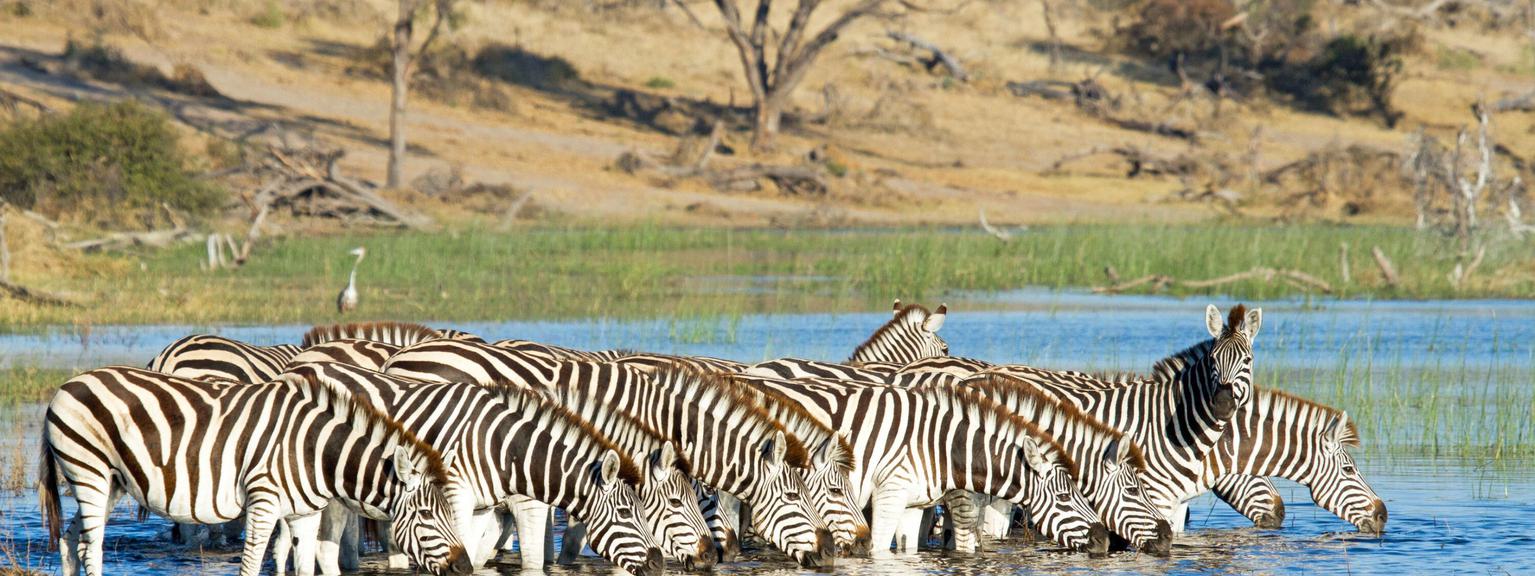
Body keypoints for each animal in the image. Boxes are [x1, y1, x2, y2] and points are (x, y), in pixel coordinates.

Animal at [39, 367, 473, 576]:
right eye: (426, 515)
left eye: (449, 513)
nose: (465, 567)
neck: (315, 452)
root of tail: (68, 384)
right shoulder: (263, 503)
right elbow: (250, 565)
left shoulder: (305, 513)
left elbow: (304, 567)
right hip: (89, 470)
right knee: (90, 546)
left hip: (111, 482)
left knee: (71, 540)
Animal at [288, 362, 667, 575]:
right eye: (626, 512)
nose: (658, 564)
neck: (505, 448)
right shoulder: (457, 498)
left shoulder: (485, 507)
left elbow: (475, 556)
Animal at [738, 375, 1109, 557]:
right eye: (1065, 499)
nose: (1104, 541)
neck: (941, 445)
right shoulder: (890, 494)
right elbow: (880, 548)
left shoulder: (914, 503)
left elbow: (908, 550)